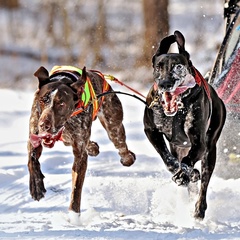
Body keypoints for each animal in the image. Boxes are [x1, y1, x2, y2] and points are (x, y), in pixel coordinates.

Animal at [27, 64, 136, 213]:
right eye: (43, 100)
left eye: (61, 104)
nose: (44, 125)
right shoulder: (34, 136)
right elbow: (32, 161)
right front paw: (36, 186)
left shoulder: (80, 154)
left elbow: (76, 187)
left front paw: (74, 214)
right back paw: (93, 147)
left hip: (114, 126)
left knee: (121, 146)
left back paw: (127, 158)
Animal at [143, 30, 226, 219]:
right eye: (158, 67)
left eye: (178, 66)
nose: (165, 84)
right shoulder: (151, 131)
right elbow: (168, 159)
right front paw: (183, 173)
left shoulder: (198, 142)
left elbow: (188, 161)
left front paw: (184, 175)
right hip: (179, 147)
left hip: (210, 150)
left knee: (204, 182)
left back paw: (199, 209)